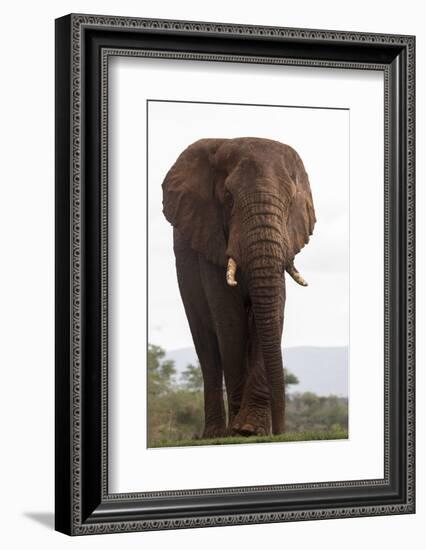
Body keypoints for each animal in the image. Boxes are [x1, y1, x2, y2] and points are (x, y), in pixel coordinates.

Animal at [161, 139, 314, 440]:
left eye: (290, 201)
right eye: (229, 198)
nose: (281, 432)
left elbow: (273, 309)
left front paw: (251, 429)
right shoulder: (208, 240)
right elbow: (229, 317)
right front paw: (240, 431)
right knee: (207, 346)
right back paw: (215, 435)